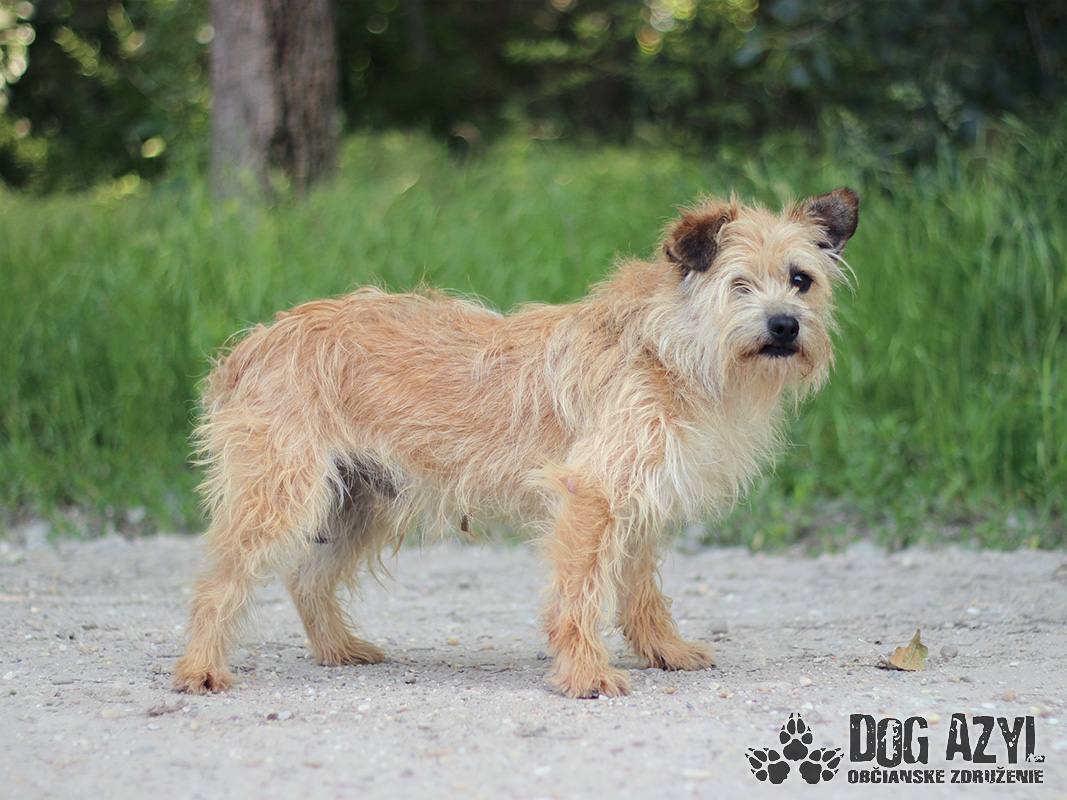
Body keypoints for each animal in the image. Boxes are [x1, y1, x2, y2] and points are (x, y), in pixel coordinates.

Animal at [173, 188, 858, 698]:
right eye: (740, 284)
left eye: (801, 280)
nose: (785, 325)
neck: (669, 349)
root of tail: (253, 344)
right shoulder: (591, 496)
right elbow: (580, 594)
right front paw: (586, 674)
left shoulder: (638, 505)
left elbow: (640, 592)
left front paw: (663, 650)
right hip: (281, 494)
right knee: (218, 579)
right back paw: (201, 668)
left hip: (359, 503)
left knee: (307, 579)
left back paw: (339, 649)